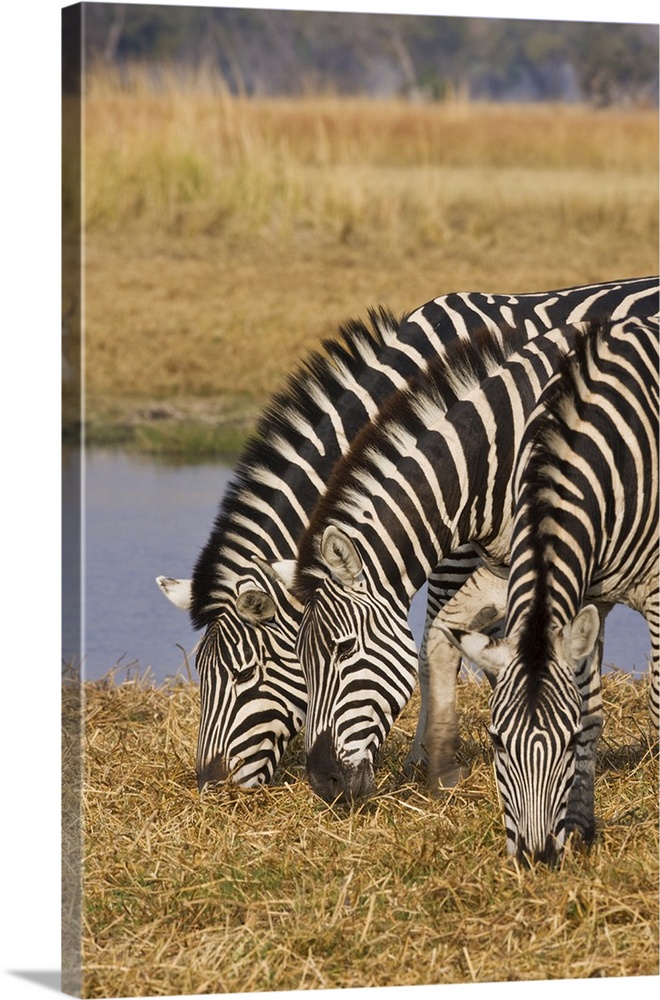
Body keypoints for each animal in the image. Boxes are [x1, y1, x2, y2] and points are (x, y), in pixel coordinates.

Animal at [157, 276, 656, 788]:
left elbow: (438, 644)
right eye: (201, 675)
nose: (209, 784)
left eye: (244, 674)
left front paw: (426, 757)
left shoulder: (463, 546)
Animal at [438, 316, 660, 864]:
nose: (535, 857)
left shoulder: (655, 590)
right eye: (496, 742)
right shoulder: (588, 593)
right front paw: (581, 826)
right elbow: (592, 706)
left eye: (564, 742)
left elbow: (657, 702)